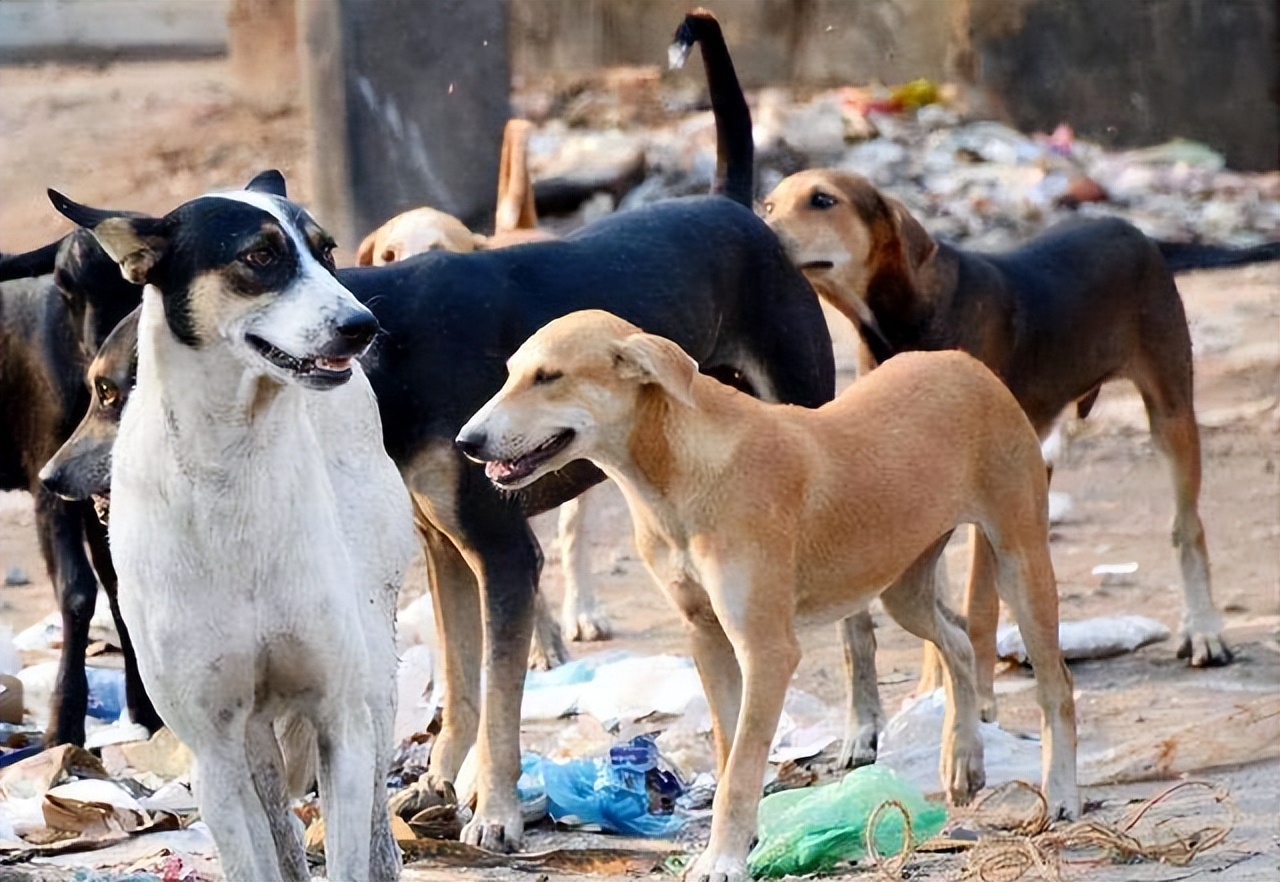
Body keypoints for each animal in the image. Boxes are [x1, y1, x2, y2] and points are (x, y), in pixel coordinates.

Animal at [49, 174, 417, 880]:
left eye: (327, 252)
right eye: (260, 256)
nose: (364, 326)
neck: (233, 465)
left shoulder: (339, 718)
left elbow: (350, 846)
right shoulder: (215, 750)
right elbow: (257, 853)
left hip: (375, 676)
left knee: (374, 819)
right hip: (250, 740)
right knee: (277, 820)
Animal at [460, 308, 1080, 880]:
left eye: (549, 376)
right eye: (511, 373)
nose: (467, 442)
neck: (678, 472)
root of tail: (963, 362)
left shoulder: (767, 649)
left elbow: (740, 768)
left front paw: (723, 859)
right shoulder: (706, 635)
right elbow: (731, 748)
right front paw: (744, 840)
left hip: (1021, 560)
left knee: (1056, 687)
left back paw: (1062, 794)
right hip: (900, 583)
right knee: (956, 641)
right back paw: (962, 757)